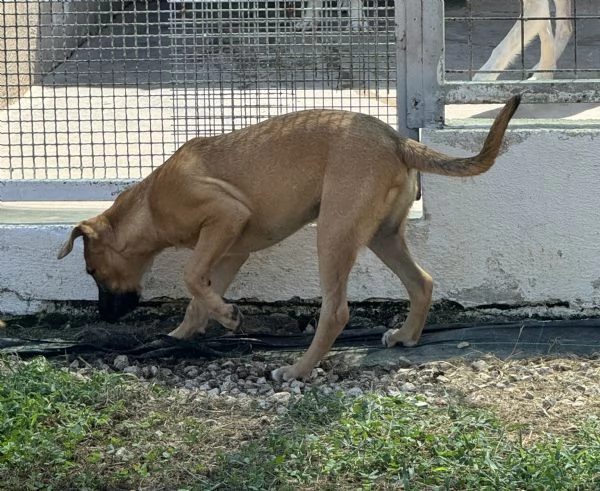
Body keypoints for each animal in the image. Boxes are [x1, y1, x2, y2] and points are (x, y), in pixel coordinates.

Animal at [58, 95, 524, 380]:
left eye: (91, 270)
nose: (104, 318)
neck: (149, 204)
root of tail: (397, 139)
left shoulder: (225, 216)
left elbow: (190, 276)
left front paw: (225, 318)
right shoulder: (230, 249)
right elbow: (198, 294)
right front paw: (181, 334)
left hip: (334, 232)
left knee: (336, 311)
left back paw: (298, 370)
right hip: (382, 235)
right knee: (421, 281)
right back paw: (406, 336)